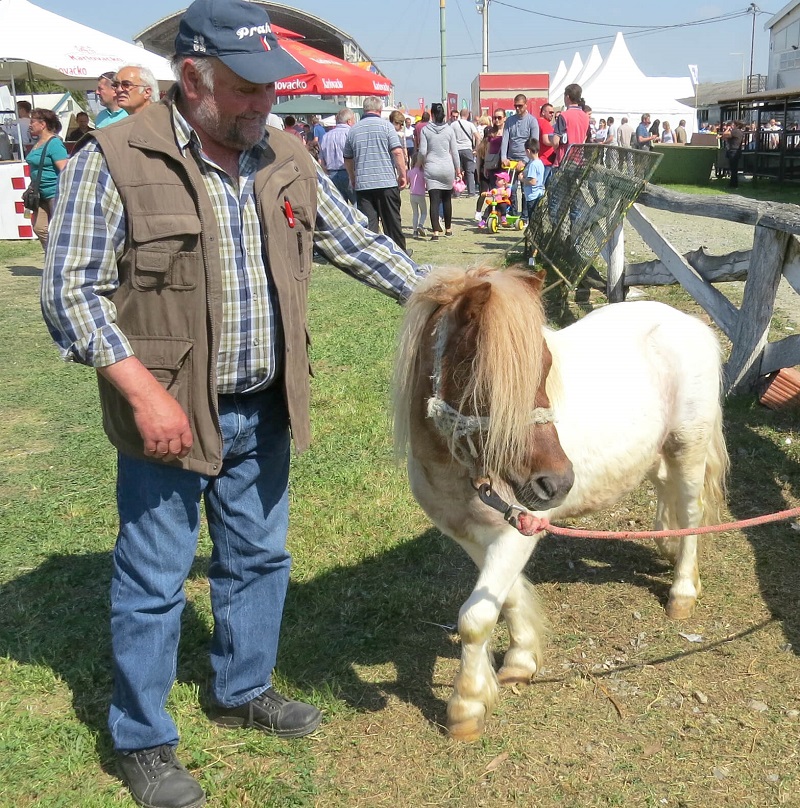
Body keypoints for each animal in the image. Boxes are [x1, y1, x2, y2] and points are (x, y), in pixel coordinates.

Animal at [390, 266, 728, 740]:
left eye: (546, 367)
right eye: (481, 377)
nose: (558, 483)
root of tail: (692, 324)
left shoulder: (517, 532)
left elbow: (476, 619)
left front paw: (467, 707)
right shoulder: (474, 536)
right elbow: (505, 599)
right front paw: (520, 661)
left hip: (688, 445)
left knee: (693, 511)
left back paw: (681, 591)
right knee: (665, 489)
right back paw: (666, 542)